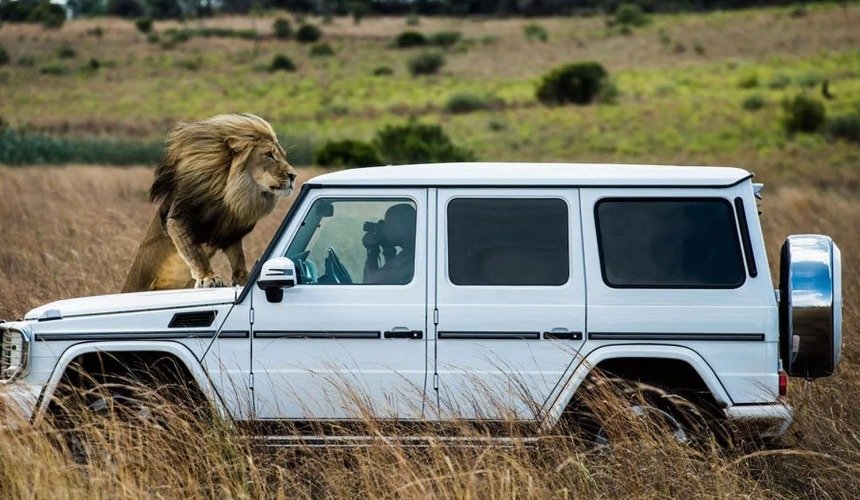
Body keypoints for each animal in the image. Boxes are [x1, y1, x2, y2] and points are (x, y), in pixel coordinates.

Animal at [121, 113, 296, 292]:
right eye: (269, 155)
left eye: (282, 155)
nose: (293, 176)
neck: (229, 196)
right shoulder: (178, 219)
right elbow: (195, 252)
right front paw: (208, 278)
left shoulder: (229, 230)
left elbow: (238, 256)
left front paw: (244, 279)